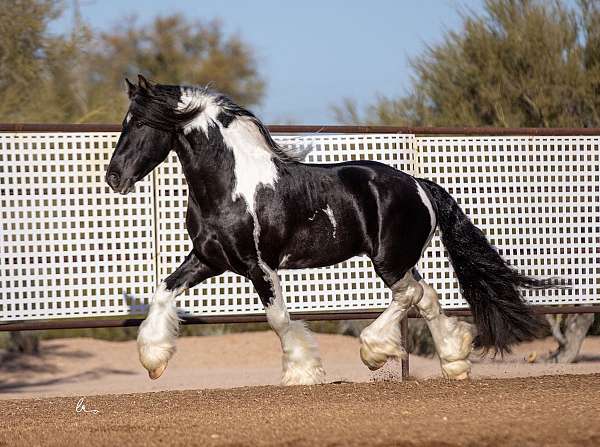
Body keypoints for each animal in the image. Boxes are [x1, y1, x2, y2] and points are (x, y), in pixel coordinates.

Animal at [105, 76, 556, 384]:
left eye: (139, 123)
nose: (113, 178)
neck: (230, 185)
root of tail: (419, 184)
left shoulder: (258, 266)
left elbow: (279, 321)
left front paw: (303, 374)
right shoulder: (208, 259)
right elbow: (163, 291)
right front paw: (154, 361)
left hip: (389, 261)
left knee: (409, 296)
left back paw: (375, 352)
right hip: (401, 261)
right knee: (425, 297)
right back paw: (454, 362)